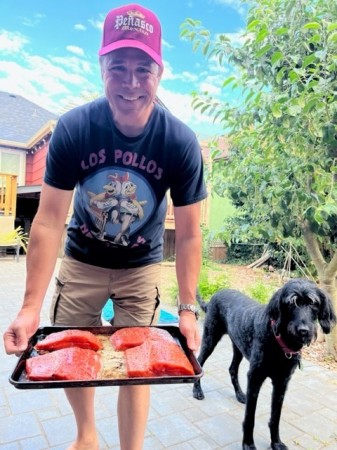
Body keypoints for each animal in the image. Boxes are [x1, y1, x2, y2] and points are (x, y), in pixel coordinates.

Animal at [193, 278, 334, 450]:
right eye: (291, 303)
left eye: (314, 303)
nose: (303, 331)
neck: (278, 340)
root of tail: (215, 296)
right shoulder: (255, 377)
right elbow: (250, 417)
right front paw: (248, 443)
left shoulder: (282, 382)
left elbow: (275, 417)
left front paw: (276, 442)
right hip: (210, 338)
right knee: (200, 362)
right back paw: (197, 391)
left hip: (238, 347)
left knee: (232, 369)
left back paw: (240, 394)